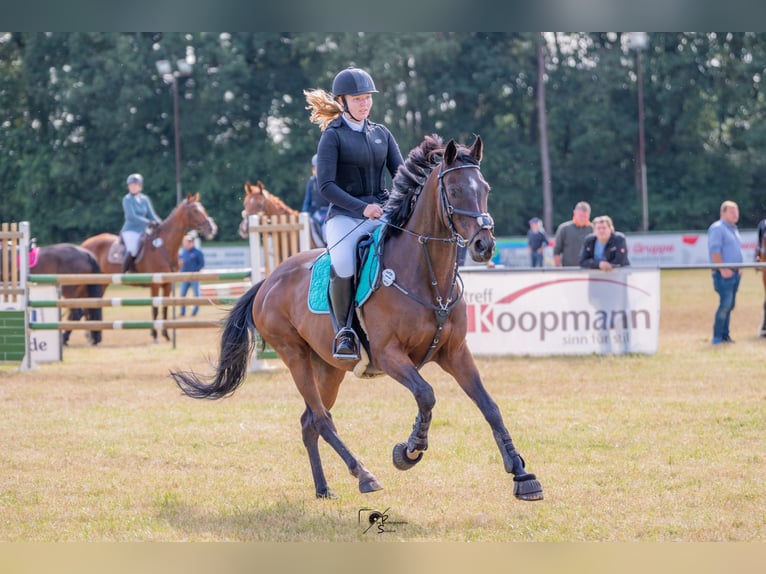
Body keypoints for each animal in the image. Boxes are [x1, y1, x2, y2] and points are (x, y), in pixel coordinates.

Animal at [82, 196, 218, 344]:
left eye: (202, 208)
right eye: (195, 211)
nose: (211, 228)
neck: (163, 247)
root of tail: (85, 245)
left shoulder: (167, 284)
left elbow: (164, 308)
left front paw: (166, 335)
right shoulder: (155, 284)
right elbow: (155, 309)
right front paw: (155, 336)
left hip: (102, 283)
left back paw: (92, 335)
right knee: (87, 306)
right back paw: (90, 336)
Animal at [174, 136, 544, 504]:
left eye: (485, 188)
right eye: (453, 191)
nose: (484, 245)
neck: (427, 275)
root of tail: (268, 281)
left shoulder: (455, 353)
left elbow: (489, 406)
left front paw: (522, 474)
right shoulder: (389, 355)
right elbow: (426, 394)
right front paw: (409, 451)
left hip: (328, 367)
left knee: (309, 421)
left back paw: (324, 487)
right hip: (295, 357)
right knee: (322, 419)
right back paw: (364, 475)